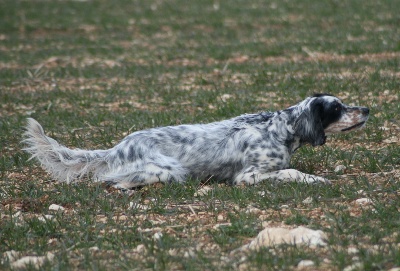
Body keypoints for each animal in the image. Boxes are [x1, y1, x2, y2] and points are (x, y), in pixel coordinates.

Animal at [23, 93, 368, 189]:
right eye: (336, 108)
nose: (366, 109)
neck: (279, 129)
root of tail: (117, 148)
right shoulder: (248, 176)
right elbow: (291, 172)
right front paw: (316, 179)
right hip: (170, 169)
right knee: (110, 180)